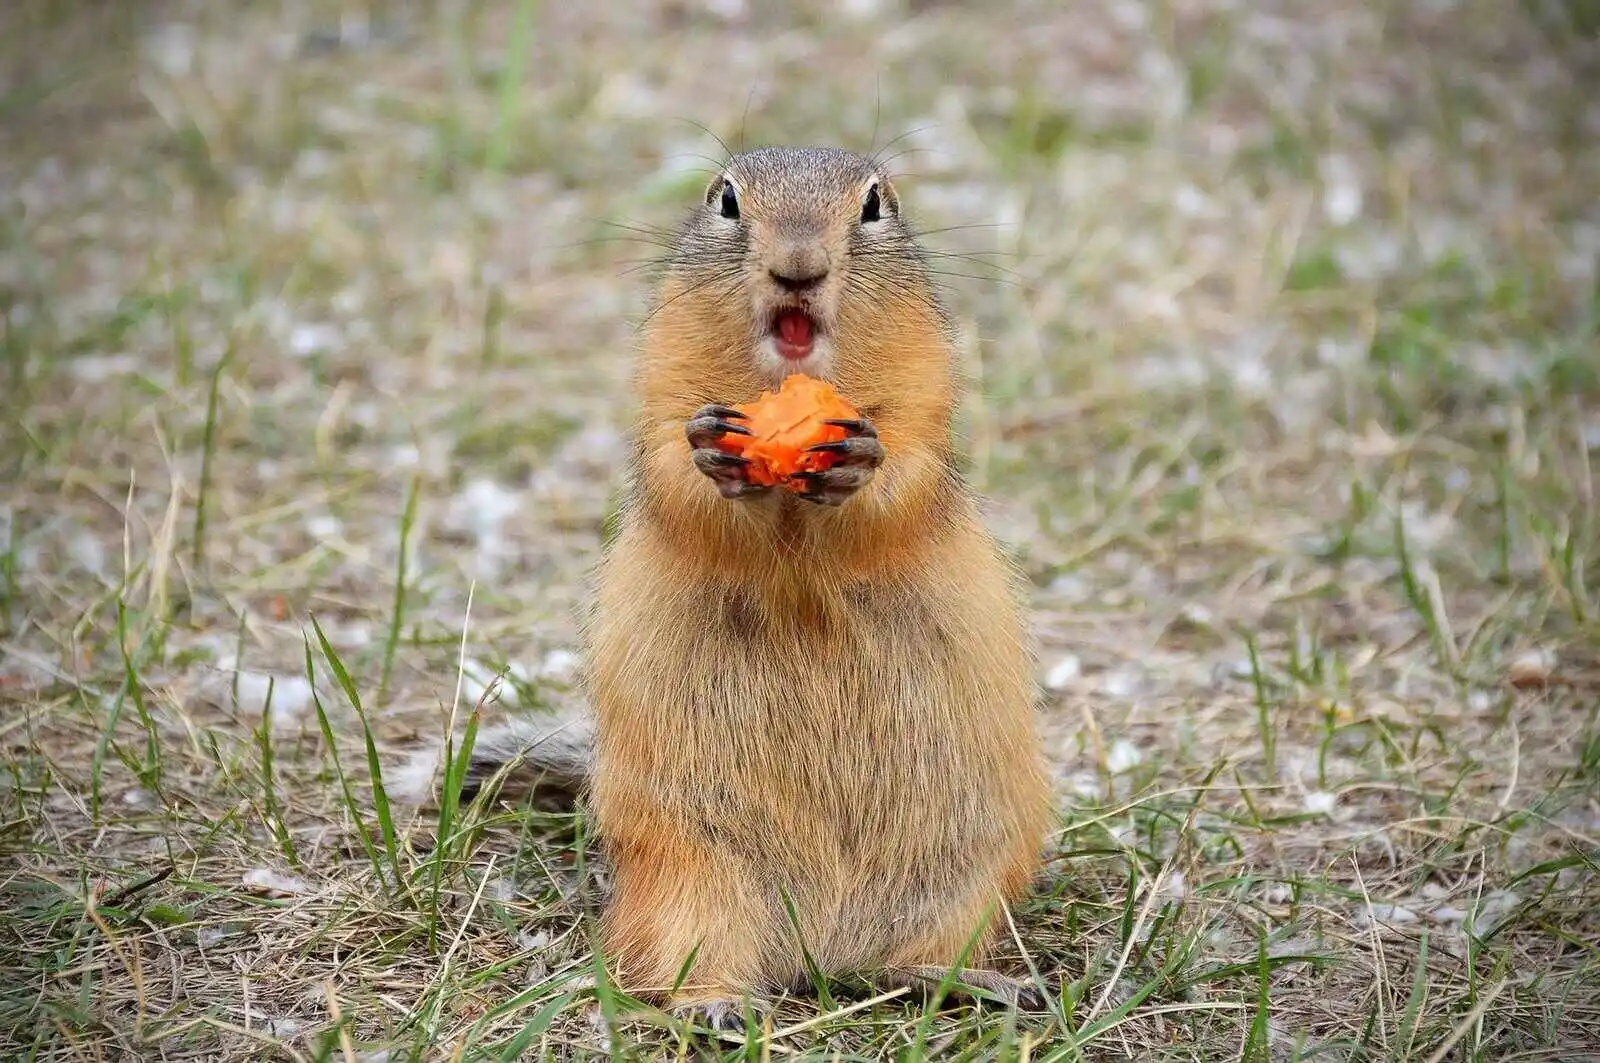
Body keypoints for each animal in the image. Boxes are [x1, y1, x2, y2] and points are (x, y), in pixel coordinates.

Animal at [396, 145, 1049, 1024]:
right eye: (726, 201)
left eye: (874, 204)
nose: (799, 268)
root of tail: (821, 951)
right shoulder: (662, 390)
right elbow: (679, 477)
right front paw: (714, 453)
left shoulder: (925, 398)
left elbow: (904, 476)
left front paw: (858, 460)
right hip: (692, 873)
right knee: (675, 962)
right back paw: (719, 1006)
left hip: (971, 875)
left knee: (908, 961)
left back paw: (980, 982)